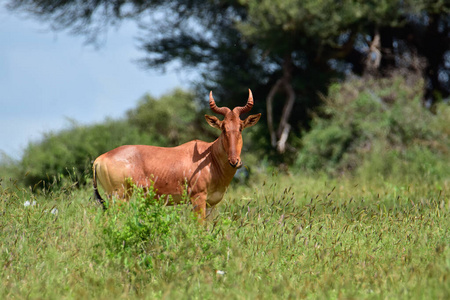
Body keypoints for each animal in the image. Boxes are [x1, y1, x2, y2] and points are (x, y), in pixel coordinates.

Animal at [92, 88, 260, 218]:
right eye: (223, 128)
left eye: (240, 127)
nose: (234, 161)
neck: (209, 157)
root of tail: (100, 158)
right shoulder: (197, 199)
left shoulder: (210, 204)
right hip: (120, 197)